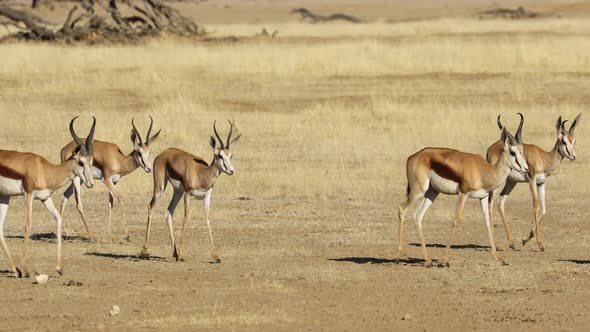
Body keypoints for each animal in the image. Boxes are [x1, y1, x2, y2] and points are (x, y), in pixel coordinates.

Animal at [0, 116, 95, 278]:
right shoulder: (28, 195)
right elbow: (28, 225)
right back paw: (19, 270)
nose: (91, 183)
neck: (44, 170)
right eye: (81, 162)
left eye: (92, 161)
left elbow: (59, 219)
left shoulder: (45, 198)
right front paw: (26, 270)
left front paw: (59, 268)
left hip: (5, 196)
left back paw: (15, 270)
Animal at [140, 119, 242, 262]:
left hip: (177, 192)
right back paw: (145, 250)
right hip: (160, 188)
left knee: (168, 212)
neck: (202, 174)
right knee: (151, 206)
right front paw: (182, 253)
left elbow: (208, 219)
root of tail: (164, 153)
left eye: (230, 155)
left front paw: (216, 256)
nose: (231, 171)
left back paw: (175, 253)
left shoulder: (207, 196)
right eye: (220, 156)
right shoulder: (188, 194)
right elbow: (186, 218)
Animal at [398, 115, 528, 268]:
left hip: (432, 192)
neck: (484, 171)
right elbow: (456, 220)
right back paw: (399, 254)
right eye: (513, 152)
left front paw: (500, 258)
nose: (526, 169)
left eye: (522, 151)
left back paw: (428, 260)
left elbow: (488, 221)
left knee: (418, 215)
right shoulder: (463, 194)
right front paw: (445, 260)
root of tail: (412, 157)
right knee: (401, 208)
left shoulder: (483, 197)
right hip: (418, 190)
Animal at [490, 113, 584, 250]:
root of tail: (490, 148)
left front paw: (525, 239)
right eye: (563, 141)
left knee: (500, 202)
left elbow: (544, 209)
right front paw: (540, 244)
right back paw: (497, 245)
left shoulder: (541, 183)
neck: (544, 158)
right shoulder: (532, 181)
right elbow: (536, 206)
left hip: (511, 182)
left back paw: (511, 243)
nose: (573, 156)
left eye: (574, 141)